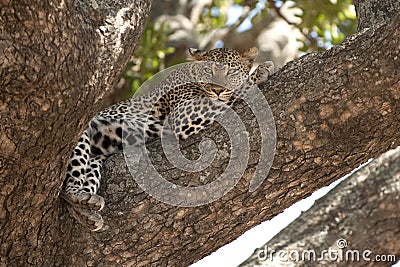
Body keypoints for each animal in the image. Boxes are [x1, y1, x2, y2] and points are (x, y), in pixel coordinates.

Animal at [61, 47, 276, 231]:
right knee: (67, 187)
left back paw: (87, 211)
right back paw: (78, 196)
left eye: (231, 72)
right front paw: (260, 72)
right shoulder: (183, 114)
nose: (217, 89)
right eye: (208, 70)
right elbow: (227, 96)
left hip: (95, 156)